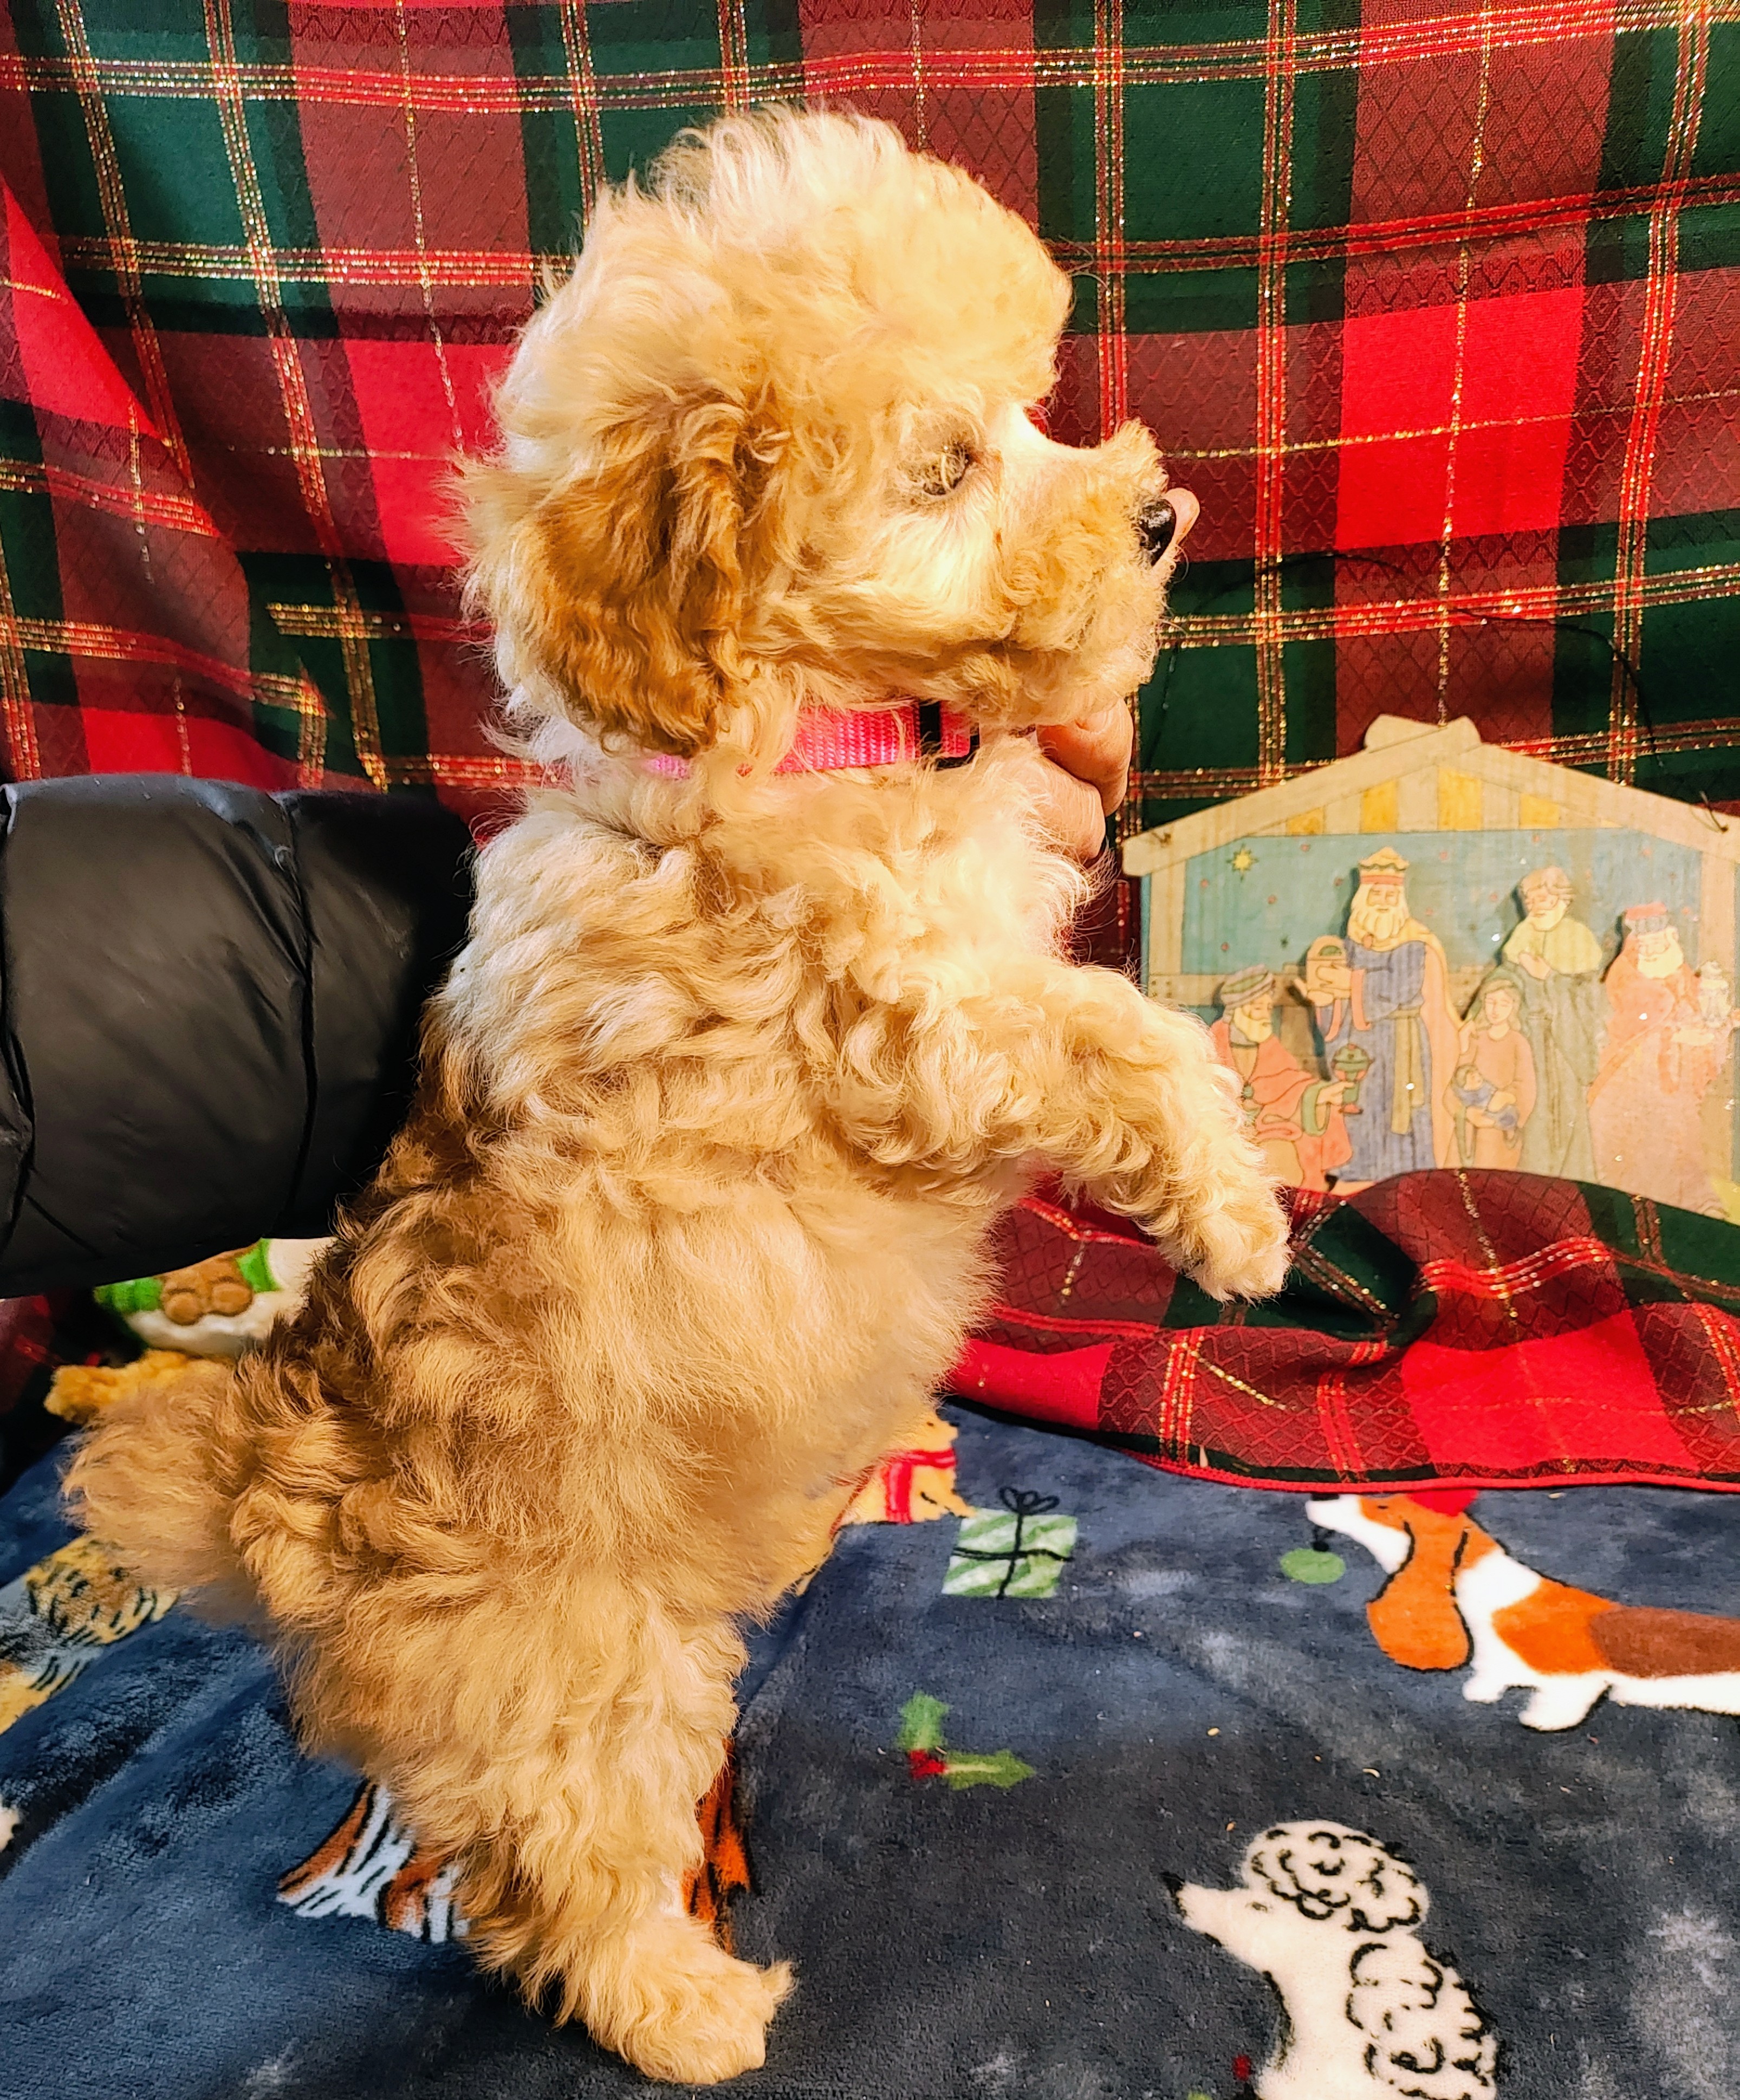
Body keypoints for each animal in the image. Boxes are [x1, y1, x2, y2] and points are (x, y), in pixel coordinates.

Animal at [68, 109, 1287, 2084]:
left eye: (1029, 406)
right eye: (947, 465)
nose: (1163, 514)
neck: (820, 734)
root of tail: (282, 1511)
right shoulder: (908, 1018)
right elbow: (1119, 1031)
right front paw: (1241, 1216)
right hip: (583, 1687)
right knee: (565, 1877)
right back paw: (693, 2007)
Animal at [1312, 1492, 1740, 1730]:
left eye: (1381, 1505)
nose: (1318, 1499)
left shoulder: (1574, 1679)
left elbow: (1561, 1705)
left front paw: (1537, 1719)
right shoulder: (1495, 1665)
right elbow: (1489, 1680)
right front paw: (1481, 1694)